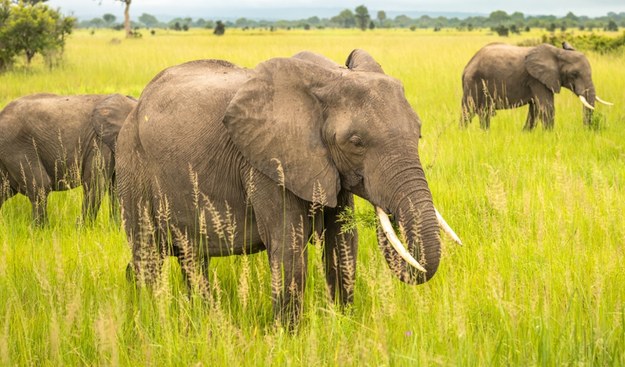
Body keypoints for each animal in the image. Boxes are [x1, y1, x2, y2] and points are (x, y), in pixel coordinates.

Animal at [0, 93, 136, 226]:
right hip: (16, 147)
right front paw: (82, 229)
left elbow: (116, 186)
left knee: (5, 191)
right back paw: (42, 229)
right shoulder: (99, 142)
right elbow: (96, 183)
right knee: (40, 187)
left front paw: (116, 228)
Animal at [105, 49, 458, 328]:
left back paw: (202, 316)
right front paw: (289, 338)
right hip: (132, 166)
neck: (327, 77)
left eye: (418, 133)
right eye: (356, 143)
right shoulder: (267, 165)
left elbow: (343, 241)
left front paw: (343, 324)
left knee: (191, 258)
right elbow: (288, 243)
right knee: (148, 253)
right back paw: (153, 313)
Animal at [460, 42, 612, 131]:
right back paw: (463, 134)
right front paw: (550, 136)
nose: (587, 130)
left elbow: (535, 108)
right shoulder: (536, 79)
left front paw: (525, 134)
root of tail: (467, 66)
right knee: (469, 110)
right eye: (574, 74)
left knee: (483, 112)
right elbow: (546, 107)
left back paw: (484, 133)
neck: (558, 52)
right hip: (474, 82)